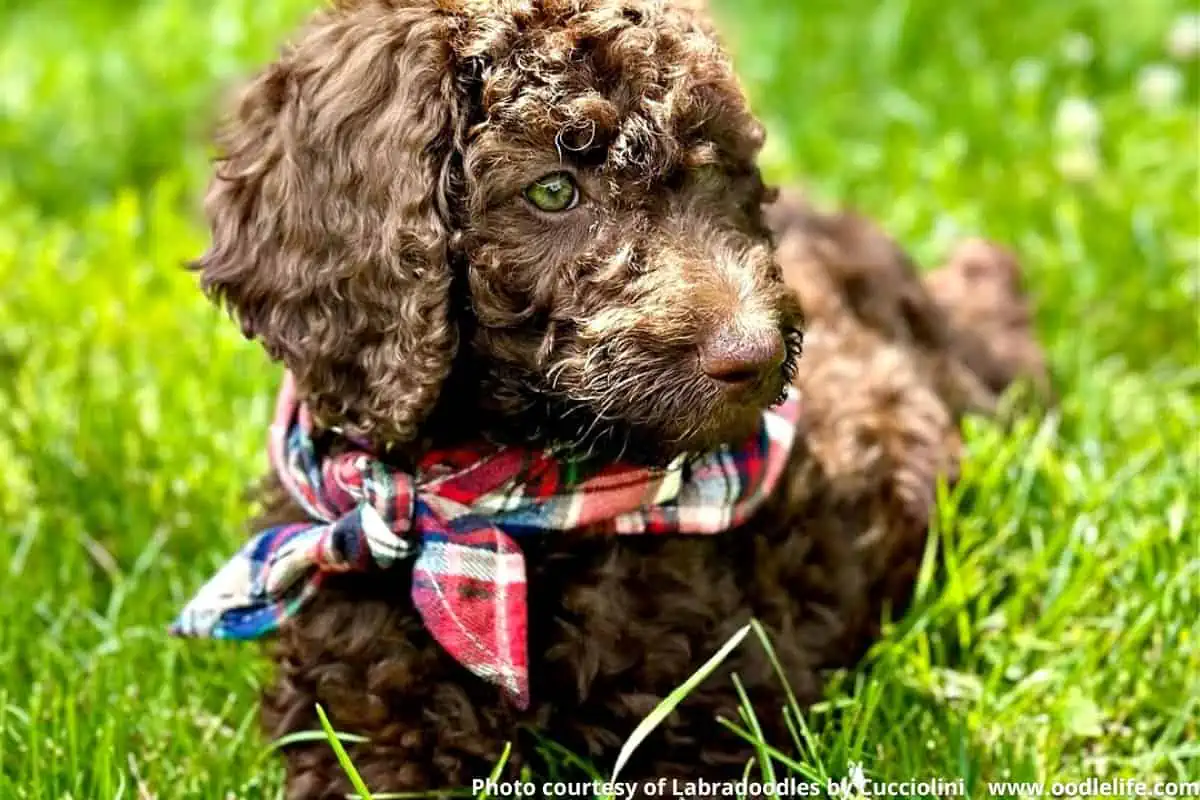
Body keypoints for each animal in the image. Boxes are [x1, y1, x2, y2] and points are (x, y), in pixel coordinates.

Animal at [174, 1, 1046, 800]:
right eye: (554, 190)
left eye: (717, 174)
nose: (757, 355)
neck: (496, 505)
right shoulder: (365, 714)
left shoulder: (716, 713)